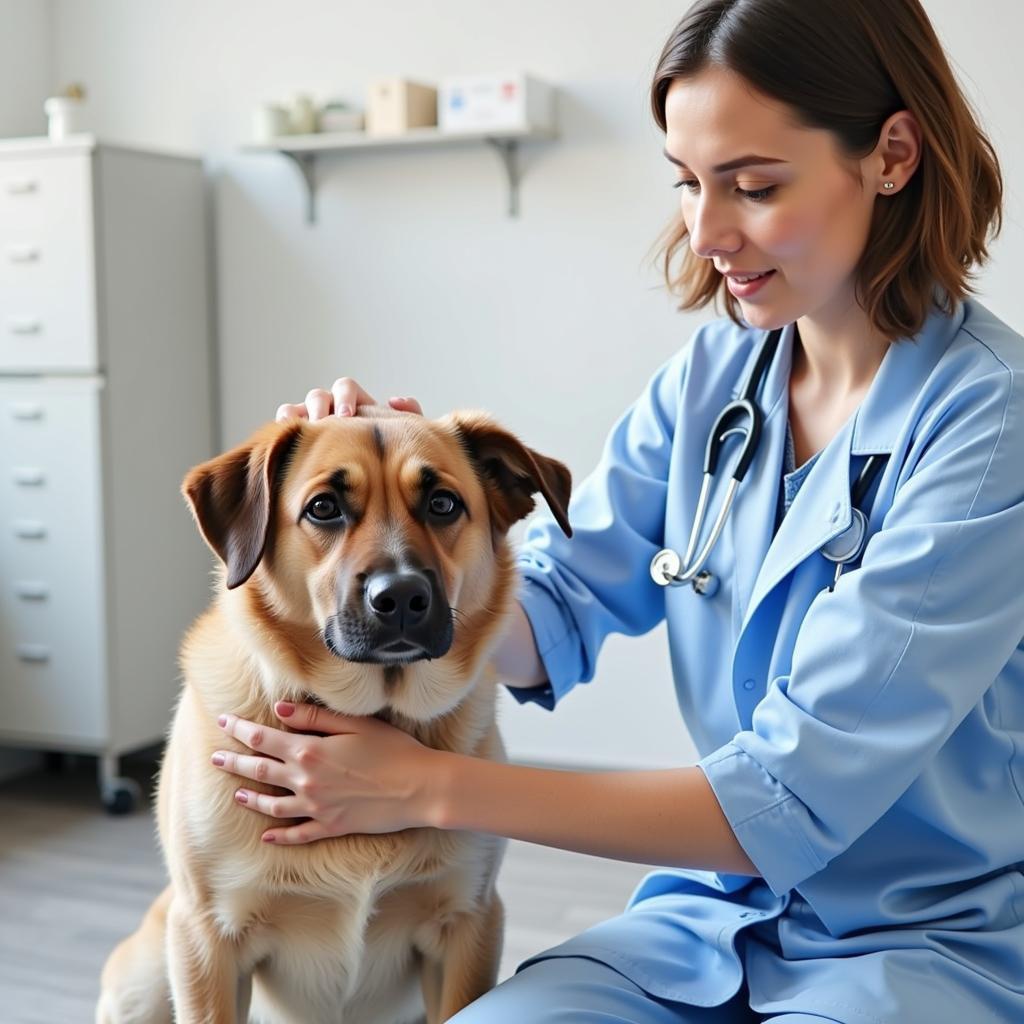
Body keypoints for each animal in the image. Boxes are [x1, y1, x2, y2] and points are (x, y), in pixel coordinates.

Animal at [94, 407, 577, 1024]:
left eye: (443, 503)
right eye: (324, 507)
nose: (401, 598)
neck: (373, 711)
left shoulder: (468, 923)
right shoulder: (206, 940)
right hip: (148, 976)